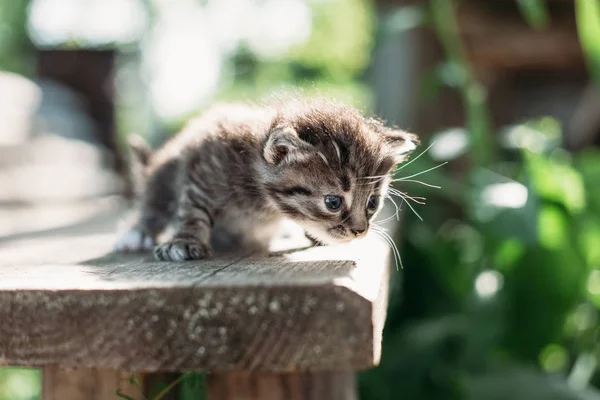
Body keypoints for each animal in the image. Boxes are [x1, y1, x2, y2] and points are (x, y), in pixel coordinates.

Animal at [115, 96, 420, 260]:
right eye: (333, 202)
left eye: (372, 203)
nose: (360, 231)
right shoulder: (204, 166)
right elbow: (192, 210)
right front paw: (184, 240)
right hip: (167, 166)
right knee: (154, 198)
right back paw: (138, 233)